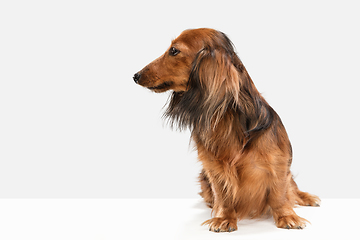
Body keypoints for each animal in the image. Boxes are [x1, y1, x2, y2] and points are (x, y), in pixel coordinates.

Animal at [134, 28, 320, 232]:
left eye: (174, 51)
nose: (135, 76)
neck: (226, 118)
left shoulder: (278, 161)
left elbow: (280, 193)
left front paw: (287, 216)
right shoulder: (214, 167)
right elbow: (223, 194)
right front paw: (224, 217)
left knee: (293, 187)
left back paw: (307, 197)